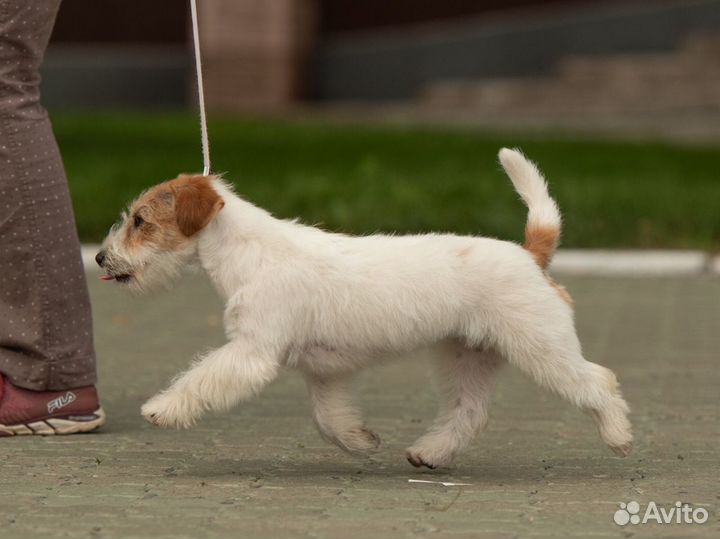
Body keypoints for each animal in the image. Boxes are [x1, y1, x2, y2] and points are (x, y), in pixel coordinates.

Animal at [97, 148, 632, 468]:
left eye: (140, 220)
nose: (101, 258)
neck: (248, 252)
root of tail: (530, 253)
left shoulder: (251, 352)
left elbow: (198, 379)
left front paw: (161, 408)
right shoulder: (323, 371)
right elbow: (328, 419)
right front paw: (360, 440)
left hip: (541, 347)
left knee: (598, 380)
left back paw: (617, 434)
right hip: (465, 356)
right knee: (469, 411)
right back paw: (428, 453)